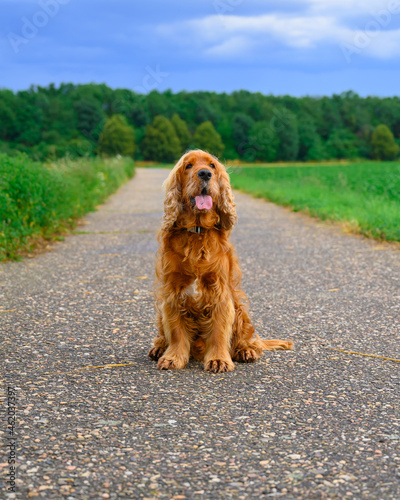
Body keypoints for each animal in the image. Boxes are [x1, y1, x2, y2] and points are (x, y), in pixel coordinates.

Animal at [148, 150, 292, 374]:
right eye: (188, 166)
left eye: (212, 165)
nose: (205, 174)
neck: (197, 232)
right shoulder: (172, 292)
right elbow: (177, 332)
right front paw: (172, 358)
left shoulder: (220, 292)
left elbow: (218, 331)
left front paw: (218, 360)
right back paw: (159, 348)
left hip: (239, 308)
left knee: (248, 339)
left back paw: (246, 351)